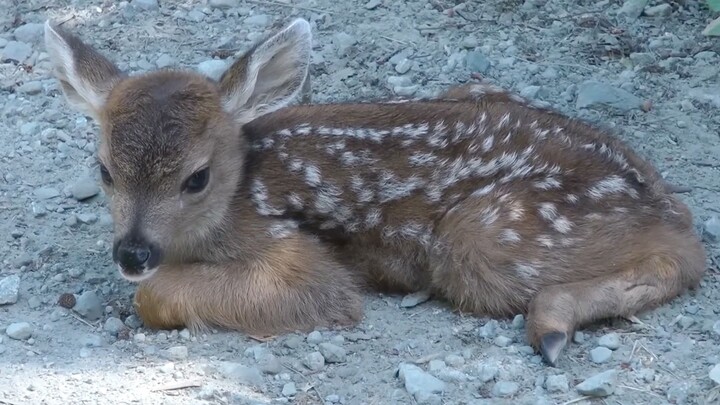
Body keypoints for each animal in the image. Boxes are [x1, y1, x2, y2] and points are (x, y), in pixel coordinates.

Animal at [44, 18, 707, 367]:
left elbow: (156, 297)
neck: (236, 196)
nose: (133, 253)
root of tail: (658, 200)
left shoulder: (295, 252)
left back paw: (551, 324)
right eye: (103, 170)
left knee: (684, 259)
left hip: (486, 235)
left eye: (196, 177)